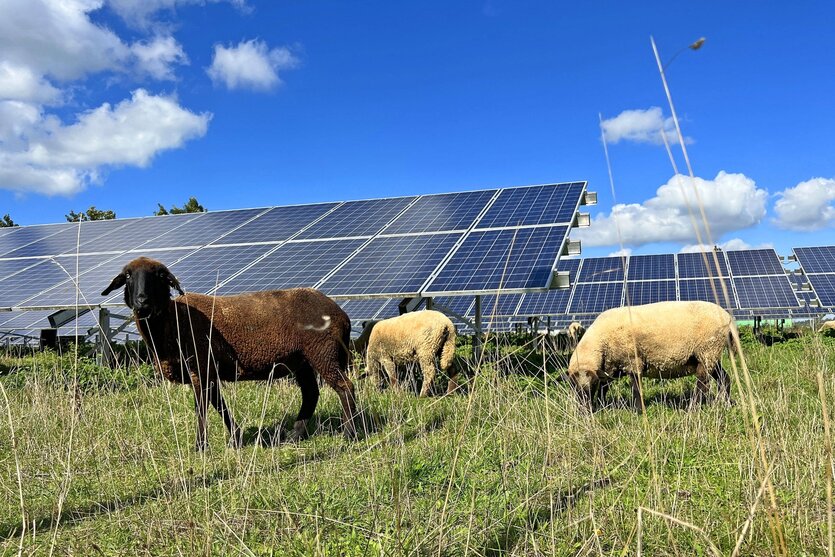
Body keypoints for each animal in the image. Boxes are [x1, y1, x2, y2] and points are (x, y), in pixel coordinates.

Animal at [100, 256, 356, 452]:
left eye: (159, 276)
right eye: (128, 277)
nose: (142, 302)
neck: (173, 320)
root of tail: (341, 314)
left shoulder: (200, 368)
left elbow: (201, 409)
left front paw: (200, 447)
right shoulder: (209, 373)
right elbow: (220, 406)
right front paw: (236, 439)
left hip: (323, 352)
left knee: (345, 387)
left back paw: (350, 434)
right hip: (302, 359)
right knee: (311, 394)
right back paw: (294, 436)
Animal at [568, 300, 740, 408]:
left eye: (592, 384)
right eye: (572, 385)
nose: (584, 410)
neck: (601, 340)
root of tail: (728, 318)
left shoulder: (633, 361)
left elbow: (636, 389)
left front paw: (638, 410)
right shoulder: (610, 366)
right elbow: (605, 387)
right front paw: (602, 405)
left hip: (707, 350)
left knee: (703, 382)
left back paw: (693, 407)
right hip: (709, 355)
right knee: (724, 378)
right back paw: (726, 403)